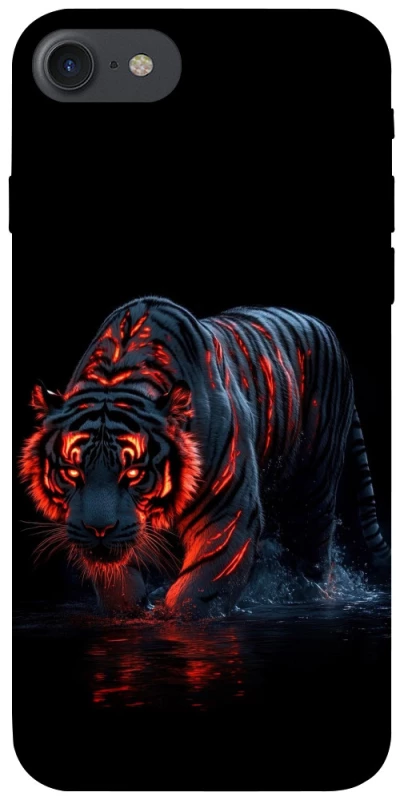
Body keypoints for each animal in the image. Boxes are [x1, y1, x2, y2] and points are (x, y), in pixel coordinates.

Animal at [20, 297, 390, 617]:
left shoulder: (228, 510)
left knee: (313, 556)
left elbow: (200, 588)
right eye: (72, 473)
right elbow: (117, 583)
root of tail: (325, 327)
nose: (99, 530)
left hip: (314, 489)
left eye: (134, 474)